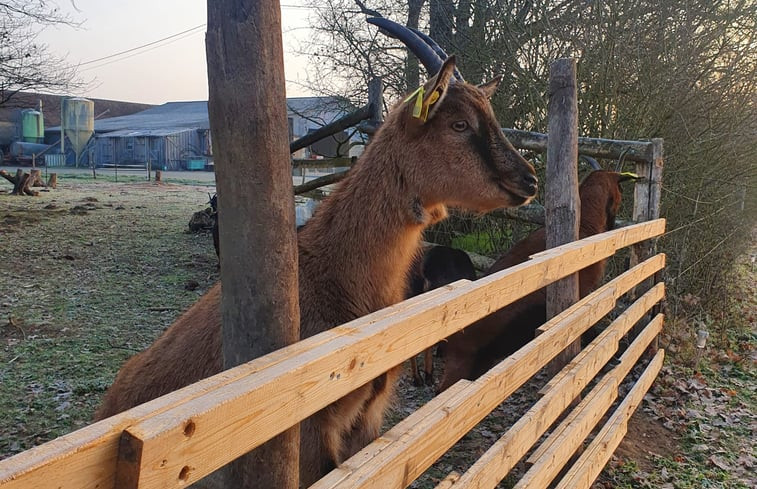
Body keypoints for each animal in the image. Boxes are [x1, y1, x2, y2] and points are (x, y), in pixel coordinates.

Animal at [438, 172, 636, 392]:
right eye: (620, 190)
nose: (613, 223)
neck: (585, 224)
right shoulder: (582, 293)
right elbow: (588, 328)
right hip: (462, 363)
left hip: (481, 361)